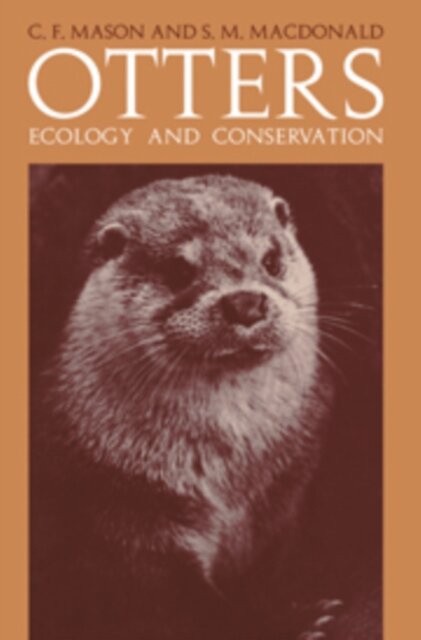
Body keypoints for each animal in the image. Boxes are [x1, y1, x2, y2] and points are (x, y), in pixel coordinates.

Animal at [32, 175, 334, 640]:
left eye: (271, 260)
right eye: (179, 271)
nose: (246, 302)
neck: (231, 479)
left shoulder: (283, 493)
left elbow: (265, 569)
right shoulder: (120, 513)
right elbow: (182, 604)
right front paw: (284, 623)